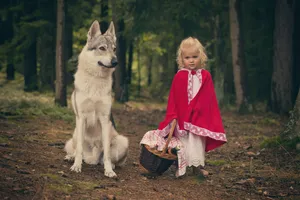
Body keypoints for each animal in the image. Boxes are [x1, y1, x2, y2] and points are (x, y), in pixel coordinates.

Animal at [63, 19, 128, 177]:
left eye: (114, 49)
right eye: (102, 48)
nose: (115, 61)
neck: (95, 79)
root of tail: (92, 157)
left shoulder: (104, 119)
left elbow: (107, 154)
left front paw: (109, 171)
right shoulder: (81, 117)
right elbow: (79, 150)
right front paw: (76, 166)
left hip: (122, 141)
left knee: (107, 158)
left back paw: (110, 165)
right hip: (74, 135)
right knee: (77, 150)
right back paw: (71, 158)